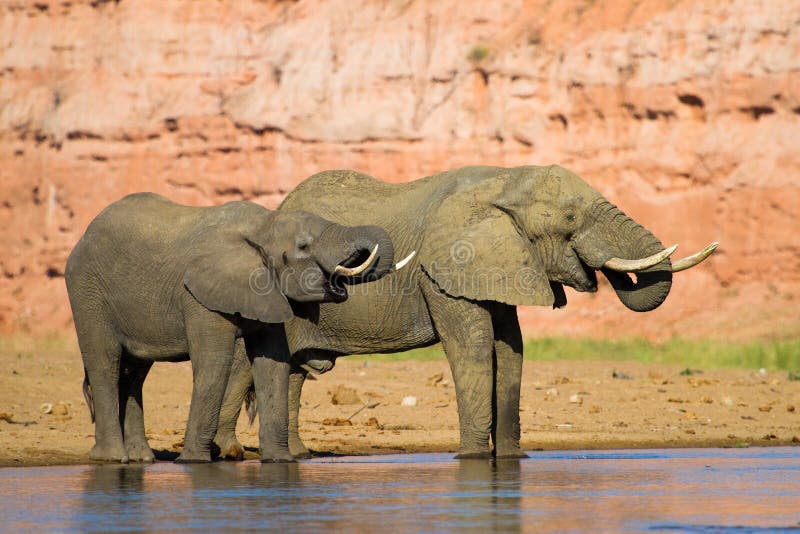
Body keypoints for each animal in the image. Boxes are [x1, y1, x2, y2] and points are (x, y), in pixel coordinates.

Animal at [65, 192, 397, 463]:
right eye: (303, 246)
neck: (263, 224)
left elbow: (273, 365)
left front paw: (279, 461)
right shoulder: (199, 296)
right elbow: (215, 363)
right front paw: (193, 462)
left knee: (134, 372)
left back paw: (141, 459)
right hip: (87, 292)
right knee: (105, 362)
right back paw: (111, 459)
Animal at [213, 165, 717, 460]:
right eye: (570, 219)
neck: (504, 181)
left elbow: (511, 350)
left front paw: (511, 461)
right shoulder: (441, 270)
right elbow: (472, 351)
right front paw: (473, 460)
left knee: (295, 371)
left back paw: (299, 455)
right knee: (246, 365)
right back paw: (230, 452)